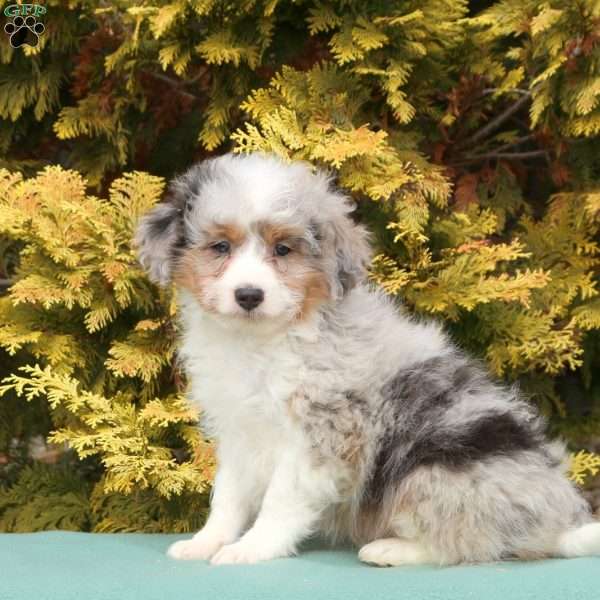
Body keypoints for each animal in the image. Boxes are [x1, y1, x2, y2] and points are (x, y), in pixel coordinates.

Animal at [135, 152, 600, 564]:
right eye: (220, 246)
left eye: (283, 250)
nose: (249, 295)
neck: (262, 341)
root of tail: (556, 526)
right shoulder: (239, 432)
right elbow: (228, 497)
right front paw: (206, 543)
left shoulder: (321, 436)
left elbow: (279, 501)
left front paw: (251, 549)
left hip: (437, 469)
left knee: (468, 542)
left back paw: (391, 550)